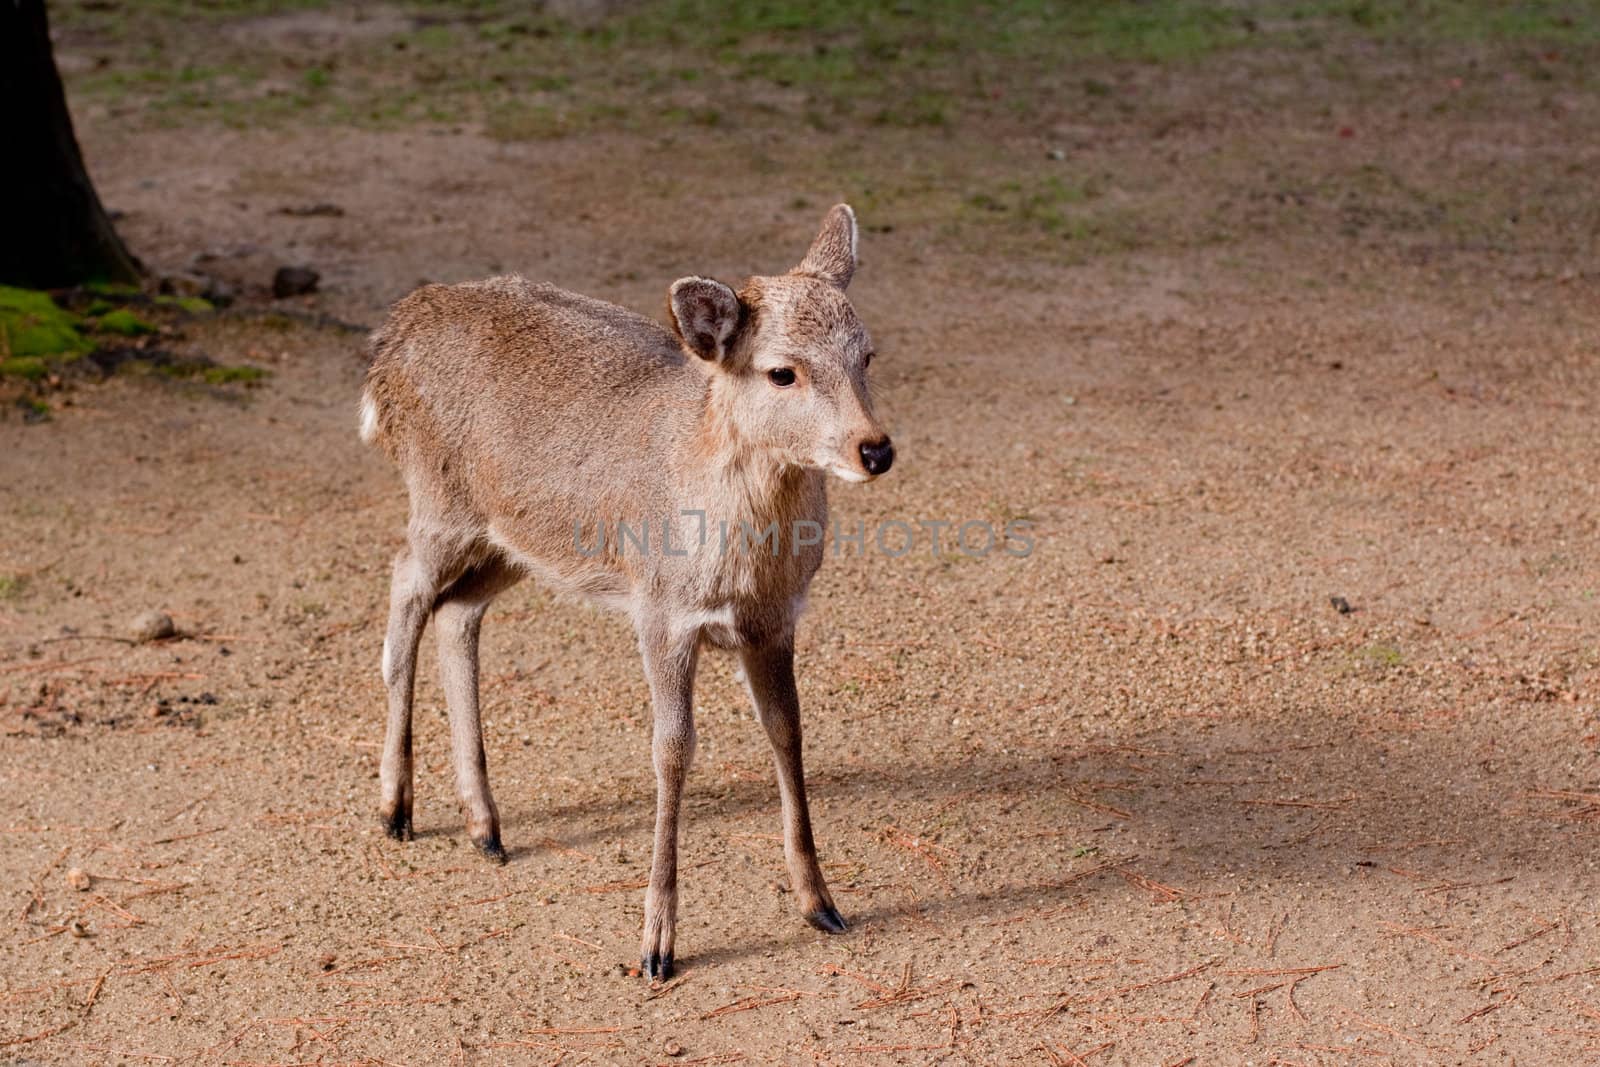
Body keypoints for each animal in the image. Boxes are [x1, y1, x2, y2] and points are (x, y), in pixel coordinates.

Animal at [355, 204, 896, 979]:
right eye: (781, 371)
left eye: (867, 354)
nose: (875, 448)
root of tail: (389, 344)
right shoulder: (660, 612)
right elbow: (672, 748)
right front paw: (657, 944)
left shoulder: (773, 621)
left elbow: (787, 731)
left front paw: (821, 903)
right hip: (438, 502)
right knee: (405, 587)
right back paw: (395, 807)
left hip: (519, 542)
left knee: (458, 611)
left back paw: (485, 825)